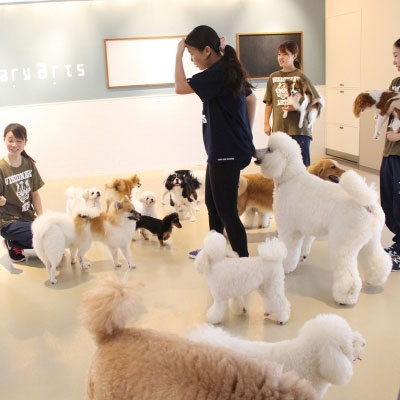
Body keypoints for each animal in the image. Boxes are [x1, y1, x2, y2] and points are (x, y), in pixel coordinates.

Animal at [255, 133, 392, 304]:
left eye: (269, 149)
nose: (254, 151)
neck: (290, 177)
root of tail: (367, 203)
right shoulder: (304, 228)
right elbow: (303, 245)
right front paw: (301, 257)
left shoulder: (289, 230)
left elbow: (290, 250)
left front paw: (285, 267)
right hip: (370, 240)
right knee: (378, 259)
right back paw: (376, 278)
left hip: (343, 243)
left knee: (348, 275)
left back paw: (346, 296)